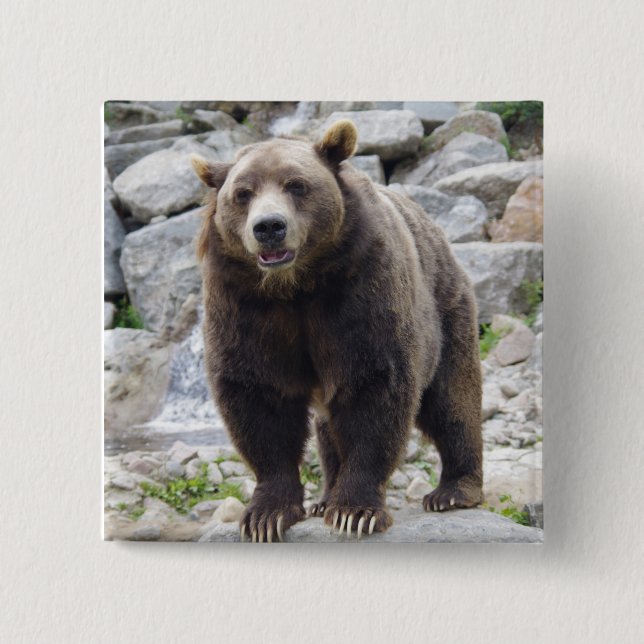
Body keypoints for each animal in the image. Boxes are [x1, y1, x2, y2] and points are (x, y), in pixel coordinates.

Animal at [192, 120, 483, 542]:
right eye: (243, 193)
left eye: (296, 184)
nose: (269, 227)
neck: (295, 287)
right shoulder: (243, 305)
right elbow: (258, 395)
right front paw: (266, 515)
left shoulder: (359, 289)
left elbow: (374, 385)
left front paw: (355, 511)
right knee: (328, 427)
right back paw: (324, 497)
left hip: (446, 309)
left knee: (452, 399)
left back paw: (454, 490)